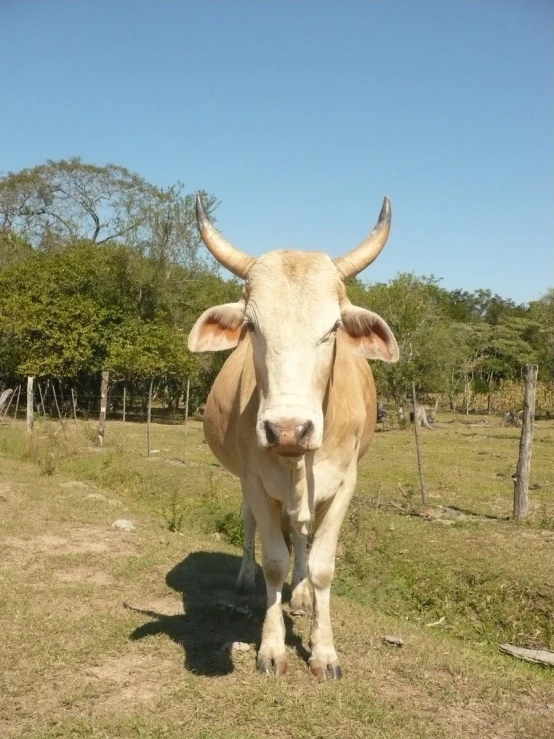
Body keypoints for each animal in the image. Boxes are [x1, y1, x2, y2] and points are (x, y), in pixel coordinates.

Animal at [187, 194, 396, 680]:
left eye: (332, 329)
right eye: (252, 327)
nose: (287, 429)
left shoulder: (344, 484)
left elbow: (320, 564)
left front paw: (323, 650)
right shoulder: (255, 480)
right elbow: (275, 561)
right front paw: (271, 648)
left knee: (301, 532)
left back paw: (300, 596)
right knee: (254, 525)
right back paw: (245, 576)